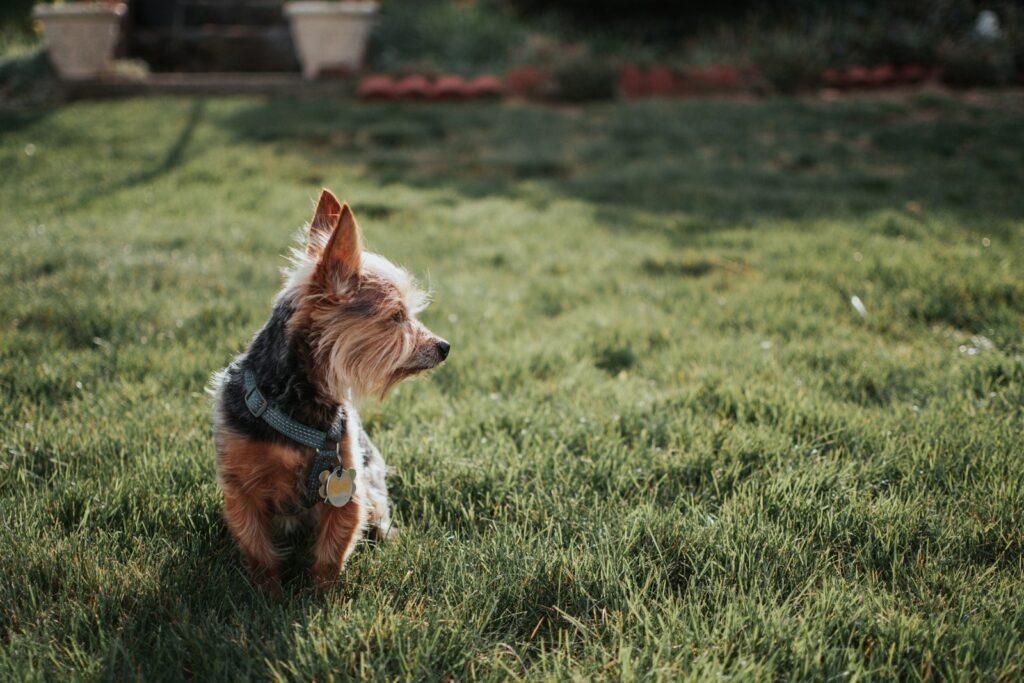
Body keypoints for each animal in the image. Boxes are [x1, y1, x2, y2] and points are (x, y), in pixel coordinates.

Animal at [208, 189, 448, 589]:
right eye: (396, 316)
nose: (445, 346)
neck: (297, 404)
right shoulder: (242, 490)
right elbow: (258, 550)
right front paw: (268, 595)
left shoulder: (348, 488)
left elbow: (331, 554)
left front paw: (322, 597)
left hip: (373, 483)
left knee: (380, 516)